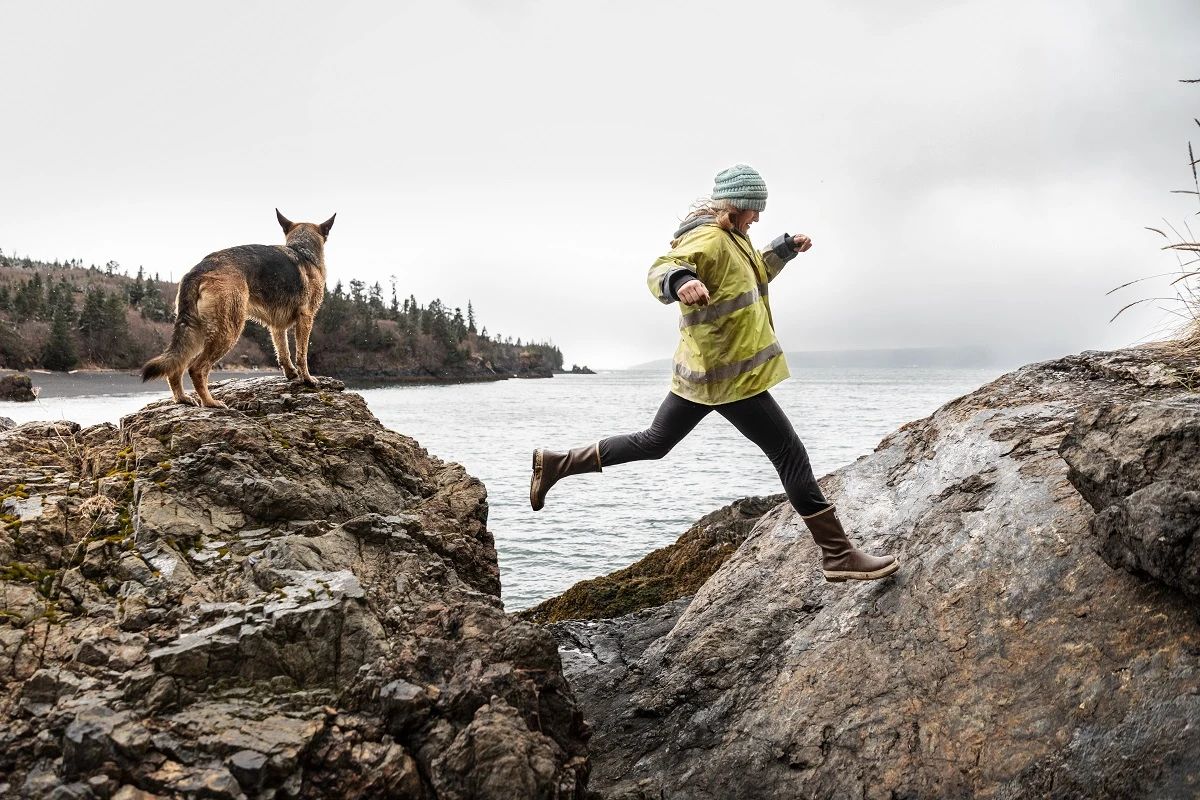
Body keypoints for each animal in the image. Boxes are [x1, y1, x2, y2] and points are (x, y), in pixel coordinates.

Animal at [142, 211, 336, 407]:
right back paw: (210, 402)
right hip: (227, 332)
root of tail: (199, 270)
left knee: (176, 368)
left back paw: (182, 398)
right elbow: (301, 355)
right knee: (196, 368)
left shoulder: (277, 327)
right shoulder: (306, 319)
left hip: (195, 332)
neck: (302, 251)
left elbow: (283, 352)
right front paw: (307, 379)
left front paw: (290, 374)